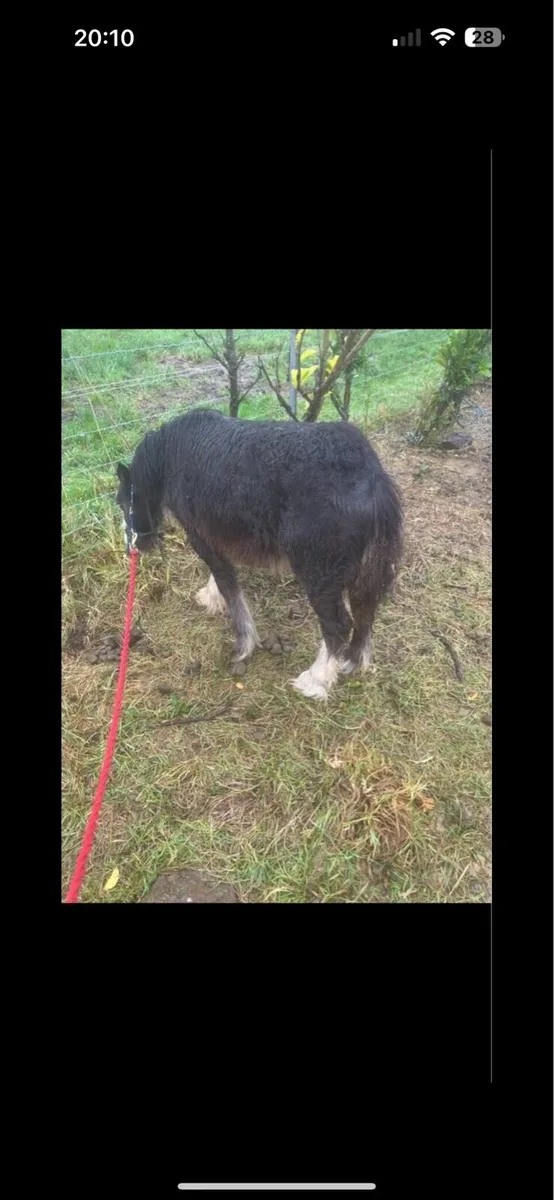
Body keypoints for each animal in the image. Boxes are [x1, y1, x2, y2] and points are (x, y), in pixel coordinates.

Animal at [116, 407, 402, 700]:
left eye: (122, 502)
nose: (131, 547)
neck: (169, 455)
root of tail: (373, 480)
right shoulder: (218, 536)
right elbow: (222, 577)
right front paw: (211, 597)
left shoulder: (200, 536)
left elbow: (231, 590)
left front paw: (243, 647)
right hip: (365, 572)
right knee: (365, 612)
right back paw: (352, 664)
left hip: (317, 574)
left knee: (339, 624)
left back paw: (315, 680)